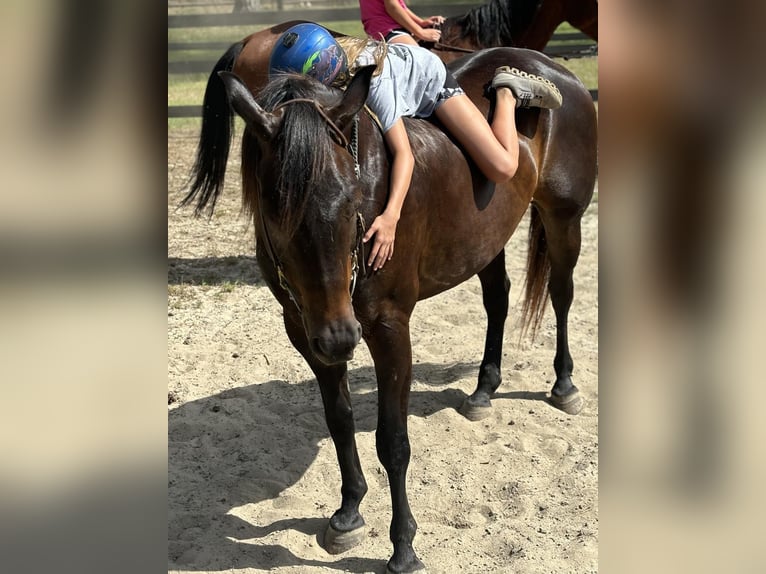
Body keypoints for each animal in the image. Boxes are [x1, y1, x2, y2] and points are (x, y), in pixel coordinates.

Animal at [184, 41, 600, 572]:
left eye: (350, 200)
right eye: (274, 211)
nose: (341, 336)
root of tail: (551, 67)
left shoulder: (388, 329)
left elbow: (393, 441)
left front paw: (403, 547)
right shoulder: (305, 330)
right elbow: (339, 421)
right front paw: (348, 513)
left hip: (563, 216)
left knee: (562, 293)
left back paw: (564, 385)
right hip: (486, 235)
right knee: (498, 299)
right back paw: (483, 390)